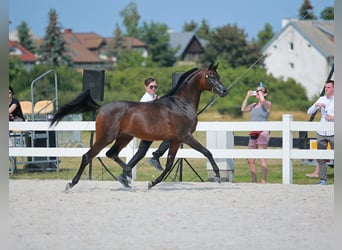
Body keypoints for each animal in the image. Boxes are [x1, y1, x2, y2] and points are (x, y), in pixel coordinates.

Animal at [50, 63, 227, 190]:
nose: (224, 91)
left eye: (218, 76)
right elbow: (207, 152)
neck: (181, 104)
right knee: (88, 156)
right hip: (106, 137)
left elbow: (169, 164)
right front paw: (218, 176)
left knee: (111, 153)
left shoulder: (175, 140)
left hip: (124, 137)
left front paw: (152, 183)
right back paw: (71, 183)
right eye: (211, 76)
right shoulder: (185, 137)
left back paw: (126, 176)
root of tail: (102, 107)